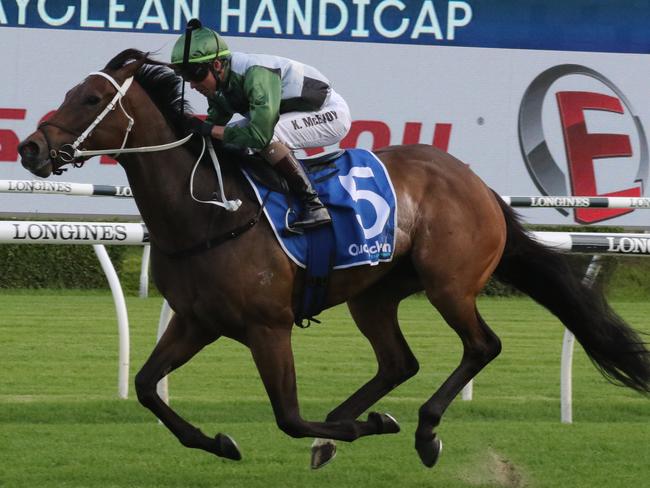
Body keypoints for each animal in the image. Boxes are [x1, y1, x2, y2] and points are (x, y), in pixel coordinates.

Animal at [17, 50, 644, 468]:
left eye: (92, 99)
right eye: (72, 92)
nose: (30, 147)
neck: (208, 212)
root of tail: (478, 185)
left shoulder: (267, 327)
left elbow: (289, 417)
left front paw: (368, 426)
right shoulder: (197, 320)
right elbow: (148, 386)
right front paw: (218, 441)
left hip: (449, 283)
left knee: (481, 345)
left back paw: (422, 431)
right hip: (375, 294)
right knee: (398, 363)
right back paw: (348, 427)